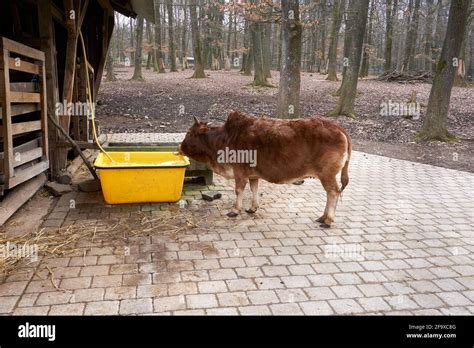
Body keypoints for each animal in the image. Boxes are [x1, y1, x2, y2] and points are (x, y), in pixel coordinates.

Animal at [180, 110, 350, 227]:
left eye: (189, 132)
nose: (180, 147)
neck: (225, 138)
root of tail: (337, 126)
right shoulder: (253, 174)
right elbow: (254, 189)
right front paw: (252, 208)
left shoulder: (239, 172)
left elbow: (239, 191)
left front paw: (235, 210)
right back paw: (323, 217)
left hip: (327, 174)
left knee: (333, 192)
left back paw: (327, 220)